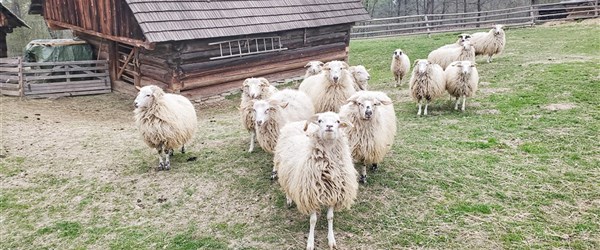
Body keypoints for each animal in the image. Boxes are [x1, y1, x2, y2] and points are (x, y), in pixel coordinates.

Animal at [276, 112, 358, 250]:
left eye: (337, 121)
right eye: (320, 121)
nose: (329, 126)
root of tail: (297, 122)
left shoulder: (334, 193)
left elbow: (330, 217)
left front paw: (331, 239)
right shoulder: (311, 195)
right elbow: (313, 220)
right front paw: (310, 242)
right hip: (283, 170)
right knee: (286, 185)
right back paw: (289, 199)